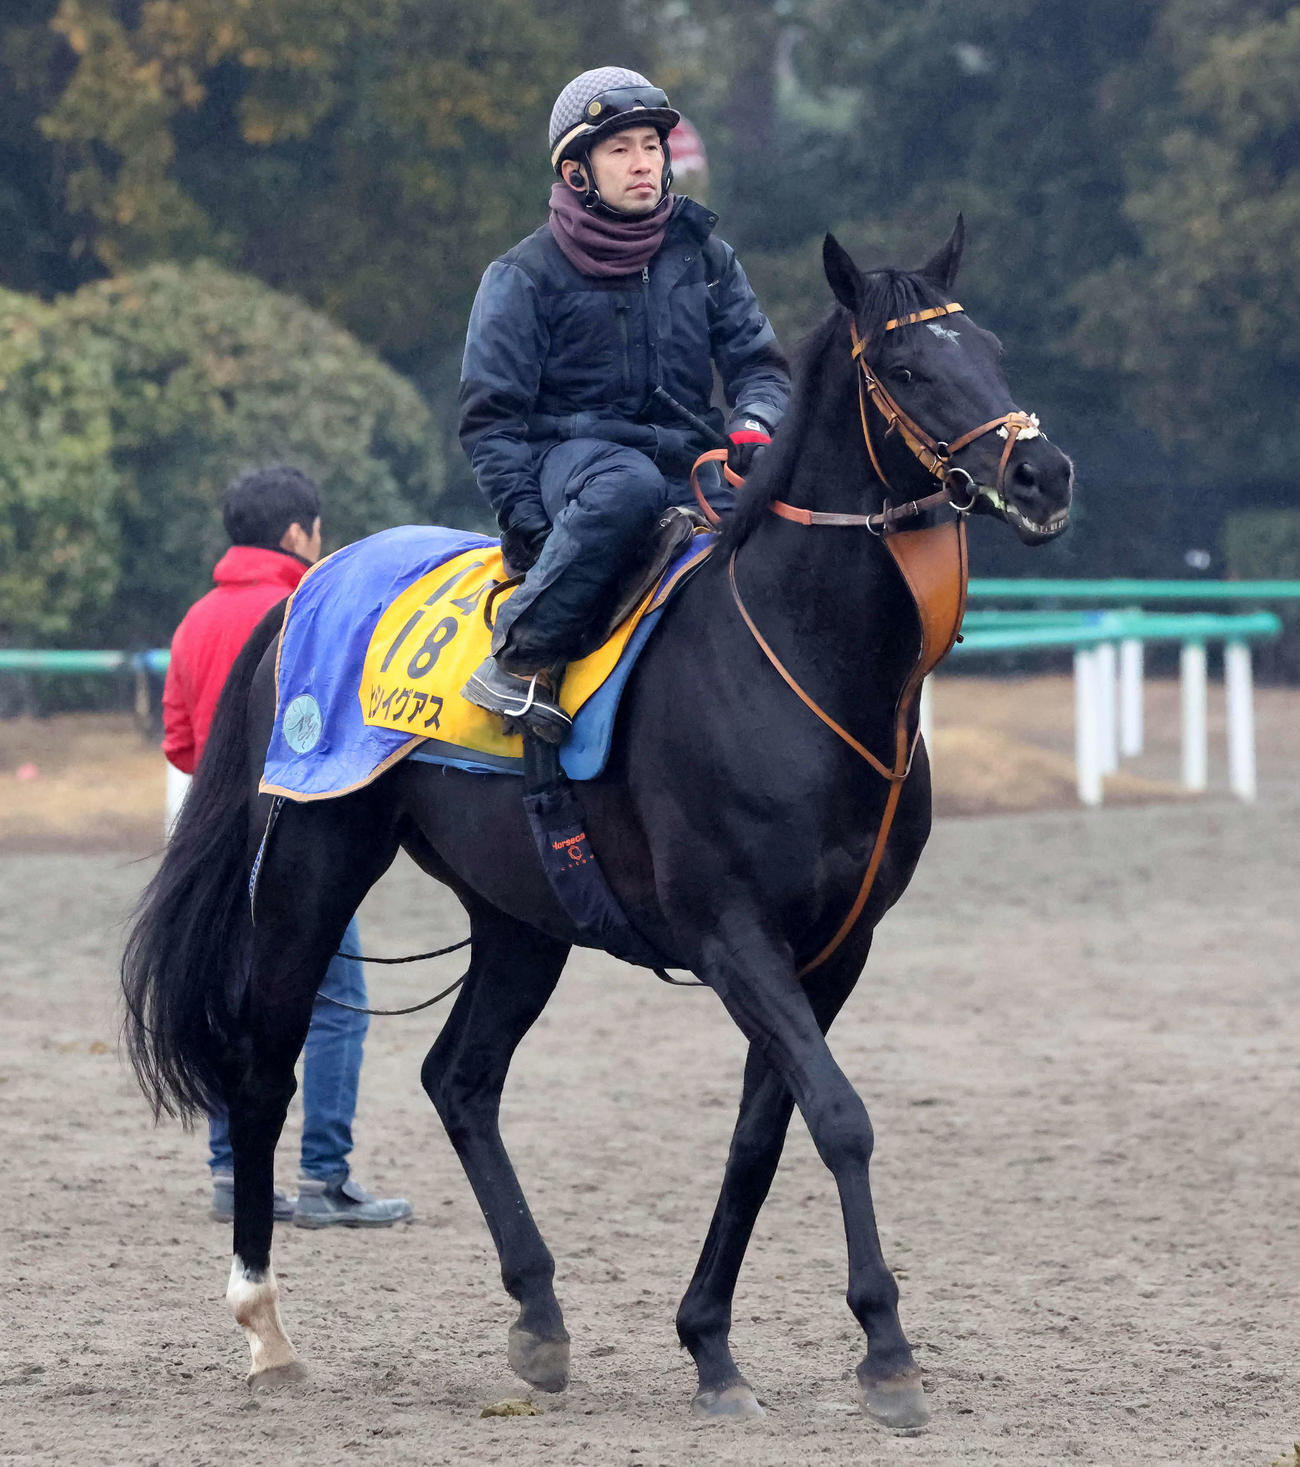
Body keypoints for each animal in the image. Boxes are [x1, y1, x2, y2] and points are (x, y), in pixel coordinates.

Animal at [121, 221, 1073, 1430]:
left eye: (987, 347)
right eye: (905, 368)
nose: (1042, 471)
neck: (797, 659)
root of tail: (300, 593)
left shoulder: (834, 949)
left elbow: (764, 1133)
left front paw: (711, 1344)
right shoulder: (730, 934)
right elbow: (841, 1115)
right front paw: (886, 1349)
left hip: (520, 917)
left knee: (460, 1078)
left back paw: (538, 1315)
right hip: (309, 868)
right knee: (262, 1068)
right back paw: (266, 1328)